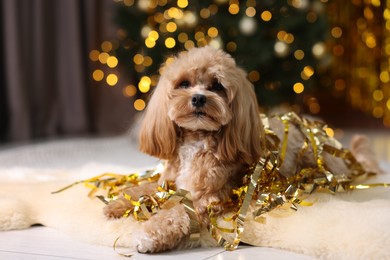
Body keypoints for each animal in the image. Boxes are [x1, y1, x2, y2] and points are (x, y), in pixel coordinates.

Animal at [103, 45, 380, 253]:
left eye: (217, 86)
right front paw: (118, 203)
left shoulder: (203, 198)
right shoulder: (168, 182)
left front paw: (148, 235)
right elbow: (143, 187)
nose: (199, 98)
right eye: (184, 84)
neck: (197, 140)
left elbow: (175, 213)